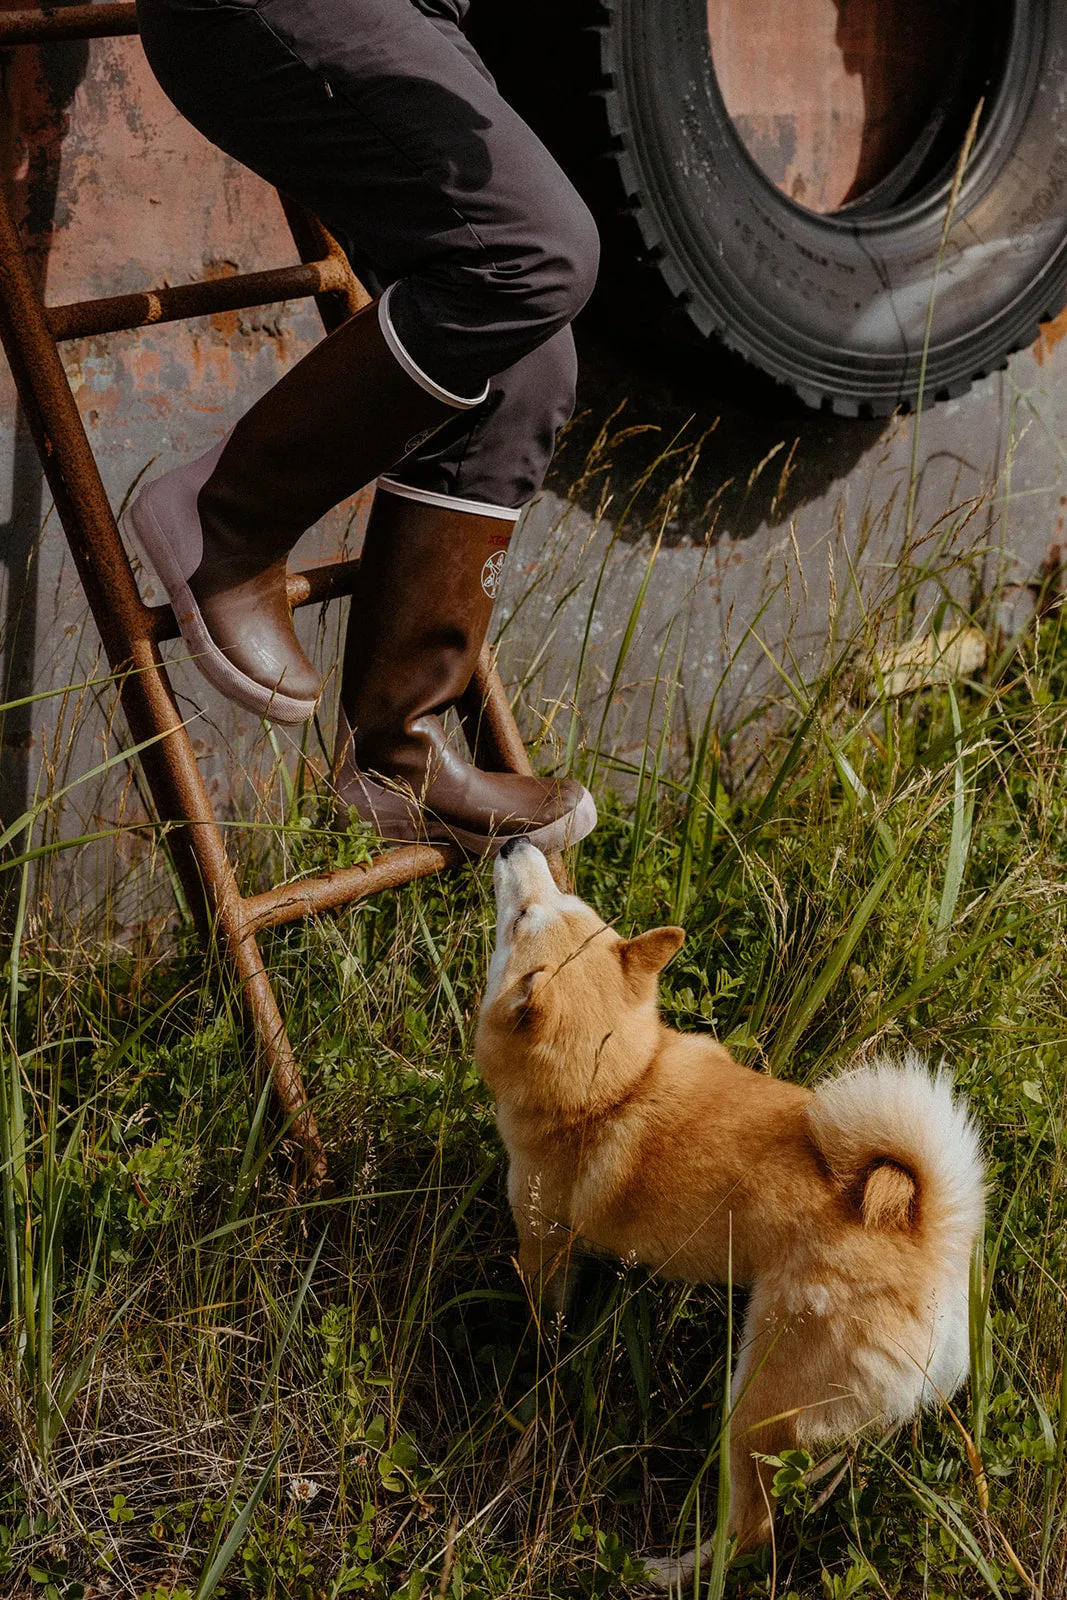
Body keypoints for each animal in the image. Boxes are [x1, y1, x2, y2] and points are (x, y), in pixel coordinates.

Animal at [476, 844, 985, 1555]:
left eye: (524, 917)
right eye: (568, 901)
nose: (513, 846)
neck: (615, 1087)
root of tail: (924, 1231)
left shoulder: (543, 1245)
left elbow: (543, 1323)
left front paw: (531, 1361)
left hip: (754, 1404)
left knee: (753, 1529)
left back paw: (665, 1568)